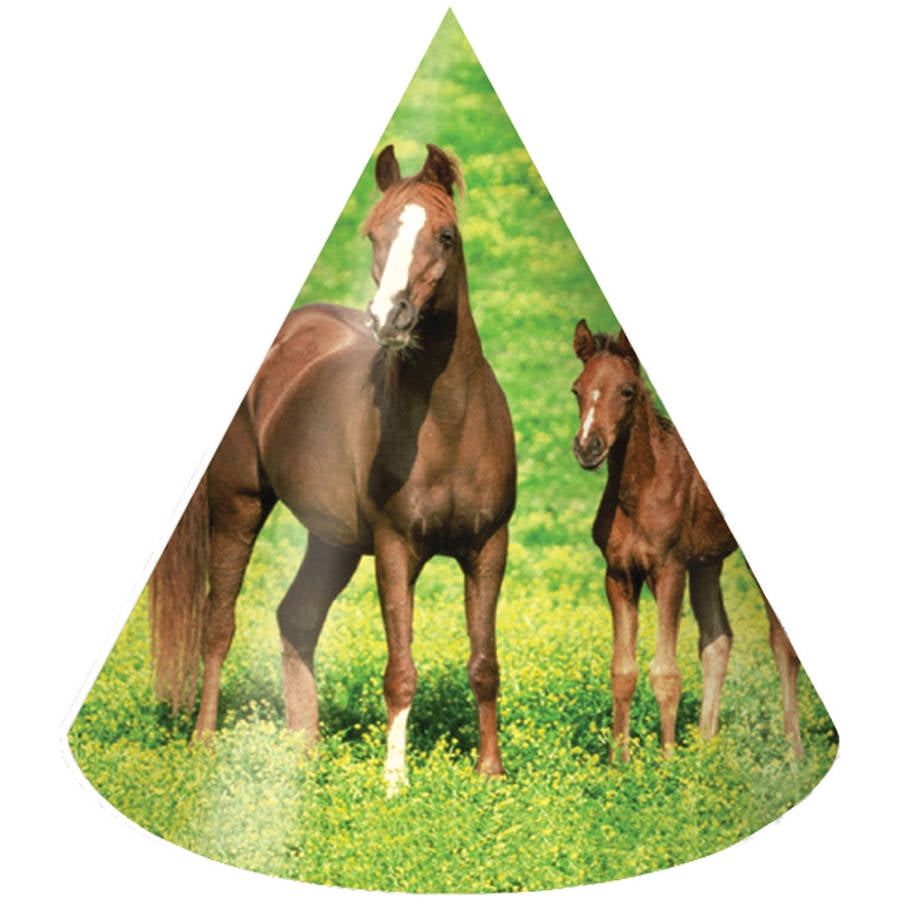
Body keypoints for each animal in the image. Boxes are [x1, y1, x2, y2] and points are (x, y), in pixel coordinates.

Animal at [149, 144, 517, 792]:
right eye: (374, 234)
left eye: (445, 235)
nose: (390, 320)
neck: (450, 425)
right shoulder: (396, 549)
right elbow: (401, 668)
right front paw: (395, 781)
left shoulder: (488, 546)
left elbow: (483, 663)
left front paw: (490, 773)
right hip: (238, 508)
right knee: (218, 625)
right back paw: (204, 739)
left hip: (333, 540)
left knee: (297, 617)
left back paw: (305, 747)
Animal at [571, 321, 803, 760]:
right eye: (578, 389)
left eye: (627, 391)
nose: (587, 447)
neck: (639, 492)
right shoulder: (619, 574)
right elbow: (622, 670)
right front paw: (619, 762)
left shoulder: (669, 570)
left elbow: (665, 672)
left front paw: (667, 761)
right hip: (707, 561)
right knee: (717, 639)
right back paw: (706, 749)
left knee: (781, 643)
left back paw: (793, 752)